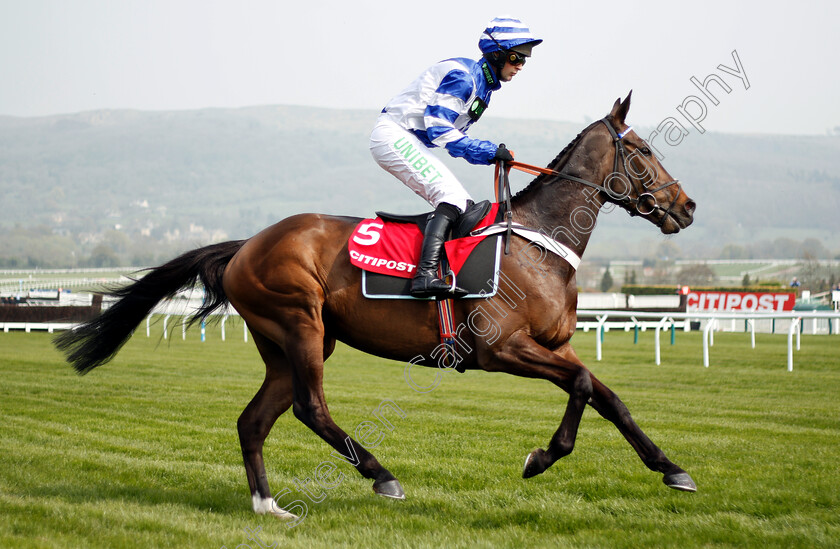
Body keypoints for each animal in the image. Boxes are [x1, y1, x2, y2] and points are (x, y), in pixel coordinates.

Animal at [55, 94, 700, 520]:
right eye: (642, 150)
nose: (687, 206)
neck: (538, 240)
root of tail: (245, 245)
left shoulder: (555, 345)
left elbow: (606, 395)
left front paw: (671, 468)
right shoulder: (502, 349)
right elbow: (587, 387)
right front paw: (541, 458)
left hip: (292, 342)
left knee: (254, 419)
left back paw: (268, 506)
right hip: (300, 324)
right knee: (310, 408)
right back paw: (382, 477)